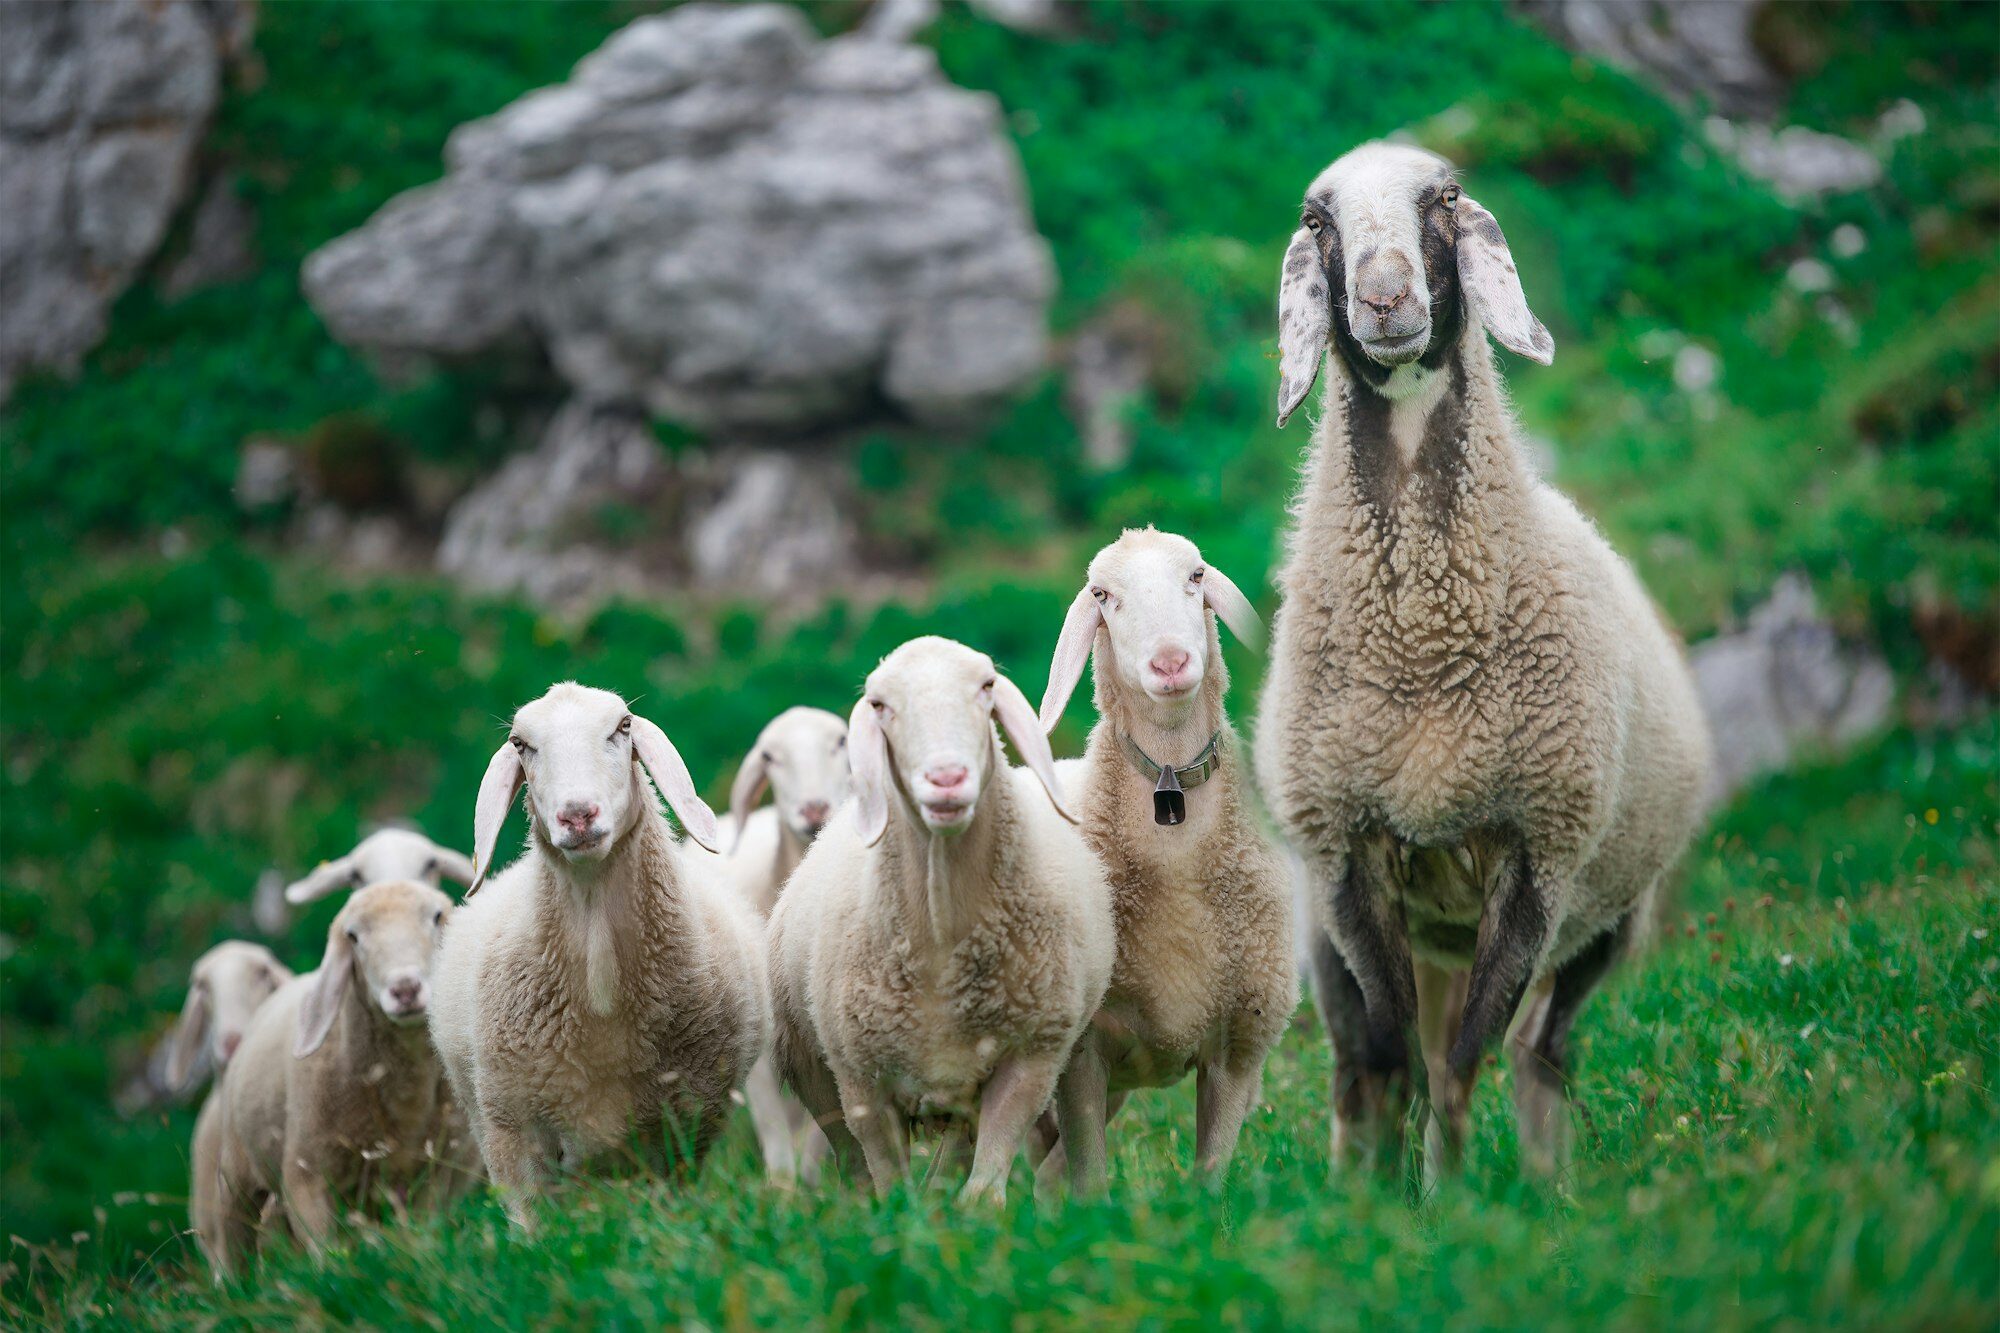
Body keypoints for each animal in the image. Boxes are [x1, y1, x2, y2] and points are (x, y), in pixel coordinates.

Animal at [193, 880, 460, 1277]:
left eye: (437, 916)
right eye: (353, 936)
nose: (405, 989)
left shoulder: (442, 1170)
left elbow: (427, 1231)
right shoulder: (305, 1175)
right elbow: (327, 1254)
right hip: (236, 1173)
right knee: (234, 1239)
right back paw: (232, 1285)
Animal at [690, 706, 850, 1184]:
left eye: (841, 741)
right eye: (769, 756)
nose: (814, 809)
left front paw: (812, 1183)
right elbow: (773, 1127)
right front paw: (782, 1189)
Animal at [766, 636, 1115, 1204]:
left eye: (987, 685)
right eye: (880, 704)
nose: (947, 779)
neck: (942, 931)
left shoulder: (1030, 1061)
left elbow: (983, 1191)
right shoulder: (864, 1086)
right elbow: (889, 1185)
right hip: (814, 1069)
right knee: (851, 1164)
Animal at [1032, 528, 1296, 1194]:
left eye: (1197, 576)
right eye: (1102, 595)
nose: (1172, 663)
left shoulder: (1238, 1050)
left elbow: (1210, 1178)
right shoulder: (1083, 1058)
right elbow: (1091, 1179)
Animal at [1254, 141, 1712, 1179]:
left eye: (1448, 196)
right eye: (1315, 218)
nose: (1385, 297)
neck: (1423, 640)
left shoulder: (1536, 853)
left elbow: (1461, 1069)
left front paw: (1454, 1196)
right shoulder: (1349, 859)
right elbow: (1392, 1066)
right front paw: (1383, 1201)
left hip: (1610, 913)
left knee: (1539, 1050)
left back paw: (1548, 1186)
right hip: (1345, 929)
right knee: (1361, 1063)